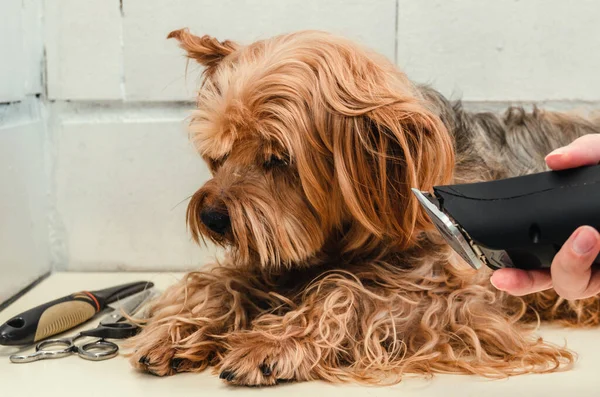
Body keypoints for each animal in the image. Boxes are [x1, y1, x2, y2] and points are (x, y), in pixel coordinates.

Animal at [127, 29, 600, 386]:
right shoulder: (280, 250)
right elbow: (221, 281)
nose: (213, 218)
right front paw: (179, 330)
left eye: (279, 158)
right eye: (219, 154)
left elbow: (350, 293)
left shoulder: (454, 303)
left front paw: (271, 343)